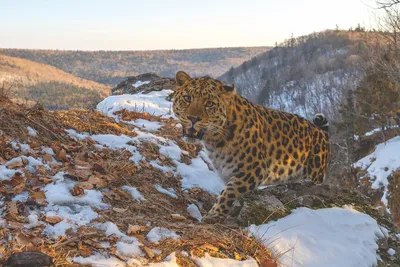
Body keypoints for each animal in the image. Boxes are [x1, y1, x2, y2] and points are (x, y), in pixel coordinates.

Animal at [173, 71, 330, 224]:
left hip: (314, 172)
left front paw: (214, 214)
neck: (214, 140)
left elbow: (228, 192)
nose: (193, 118)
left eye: (209, 104)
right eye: (187, 98)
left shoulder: (254, 169)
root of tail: (320, 131)